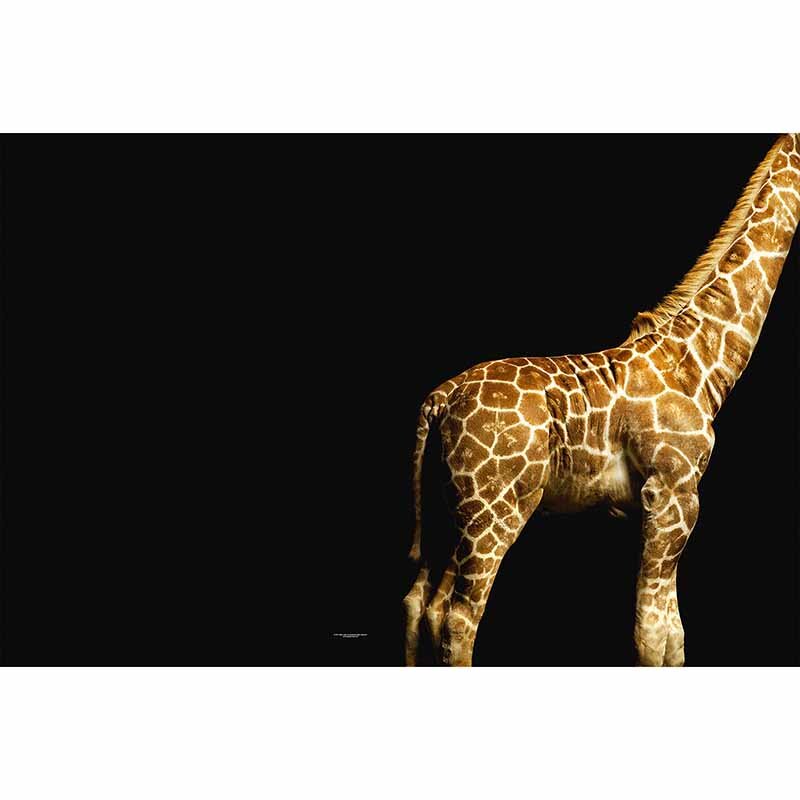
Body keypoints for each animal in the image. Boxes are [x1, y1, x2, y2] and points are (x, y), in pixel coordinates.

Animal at [402, 134, 800, 667]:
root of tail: (439, 400)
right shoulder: (671, 492)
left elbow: (674, 637)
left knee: (419, 604)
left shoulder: (673, 500)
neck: (698, 361)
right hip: (494, 510)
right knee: (459, 618)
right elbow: (651, 635)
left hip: (447, 512)